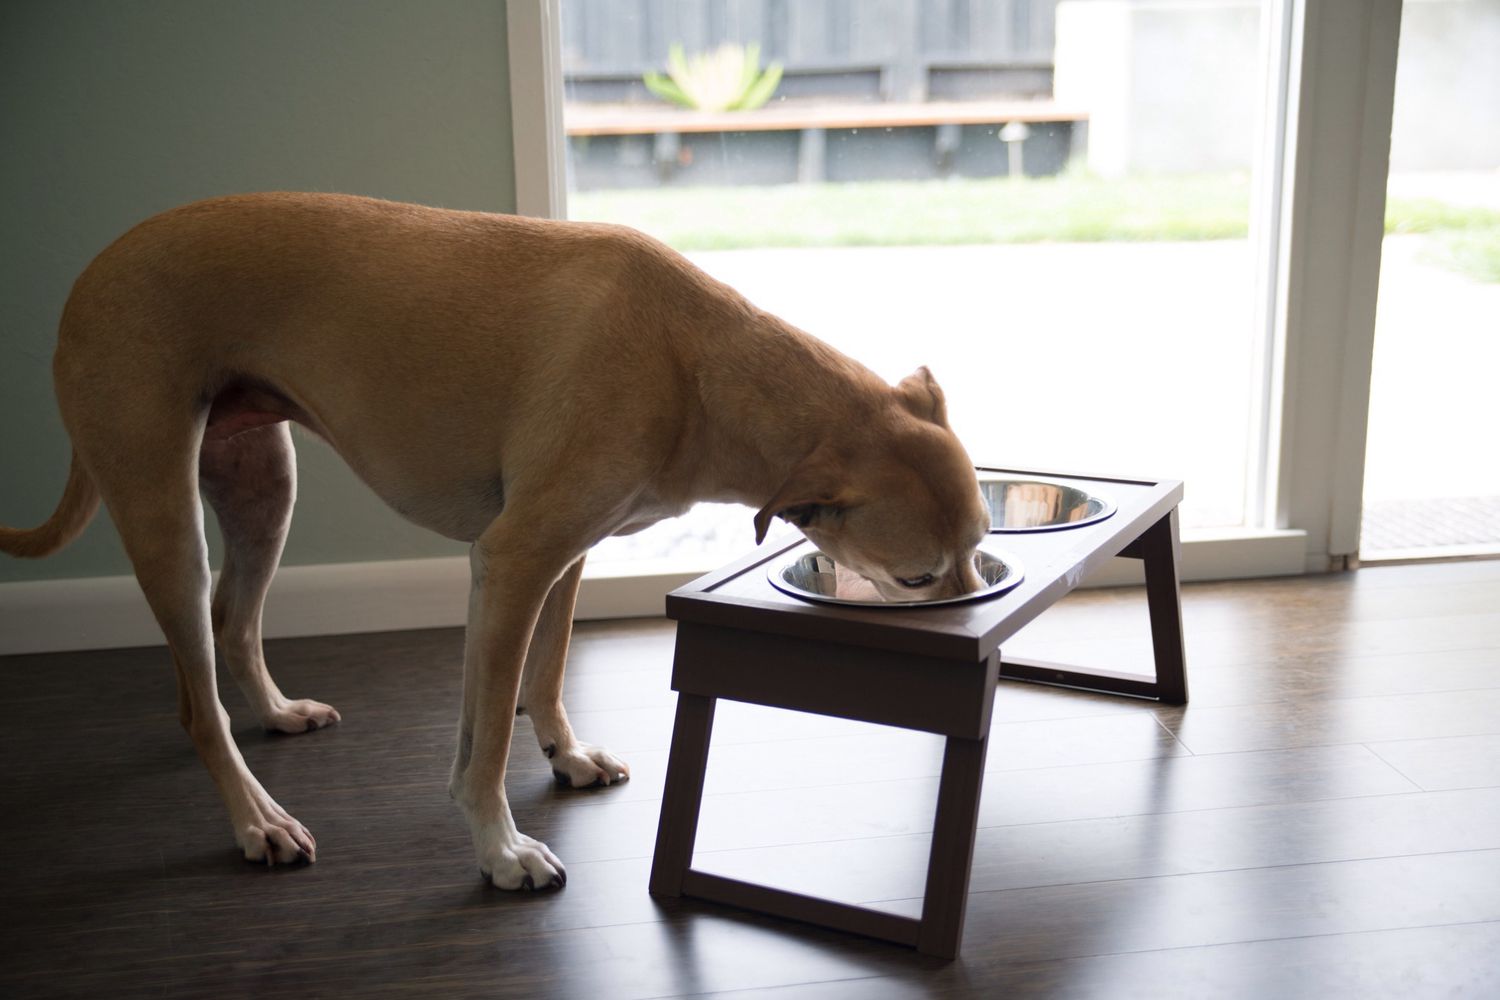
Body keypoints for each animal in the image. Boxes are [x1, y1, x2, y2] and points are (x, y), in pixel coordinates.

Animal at [2, 194, 996, 893]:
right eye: (918, 578)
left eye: (979, 548)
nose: (977, 636)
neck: (697, 367)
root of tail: (92, 274)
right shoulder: (514, 559)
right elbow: (481, 745)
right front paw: (501, 849)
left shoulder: (567, 554)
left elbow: (541, 675)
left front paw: (564, 754)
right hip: (163, 509)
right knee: (198, 694)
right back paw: (256, 819)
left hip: (260, 491)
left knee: (231, 629)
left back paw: (274, 715)